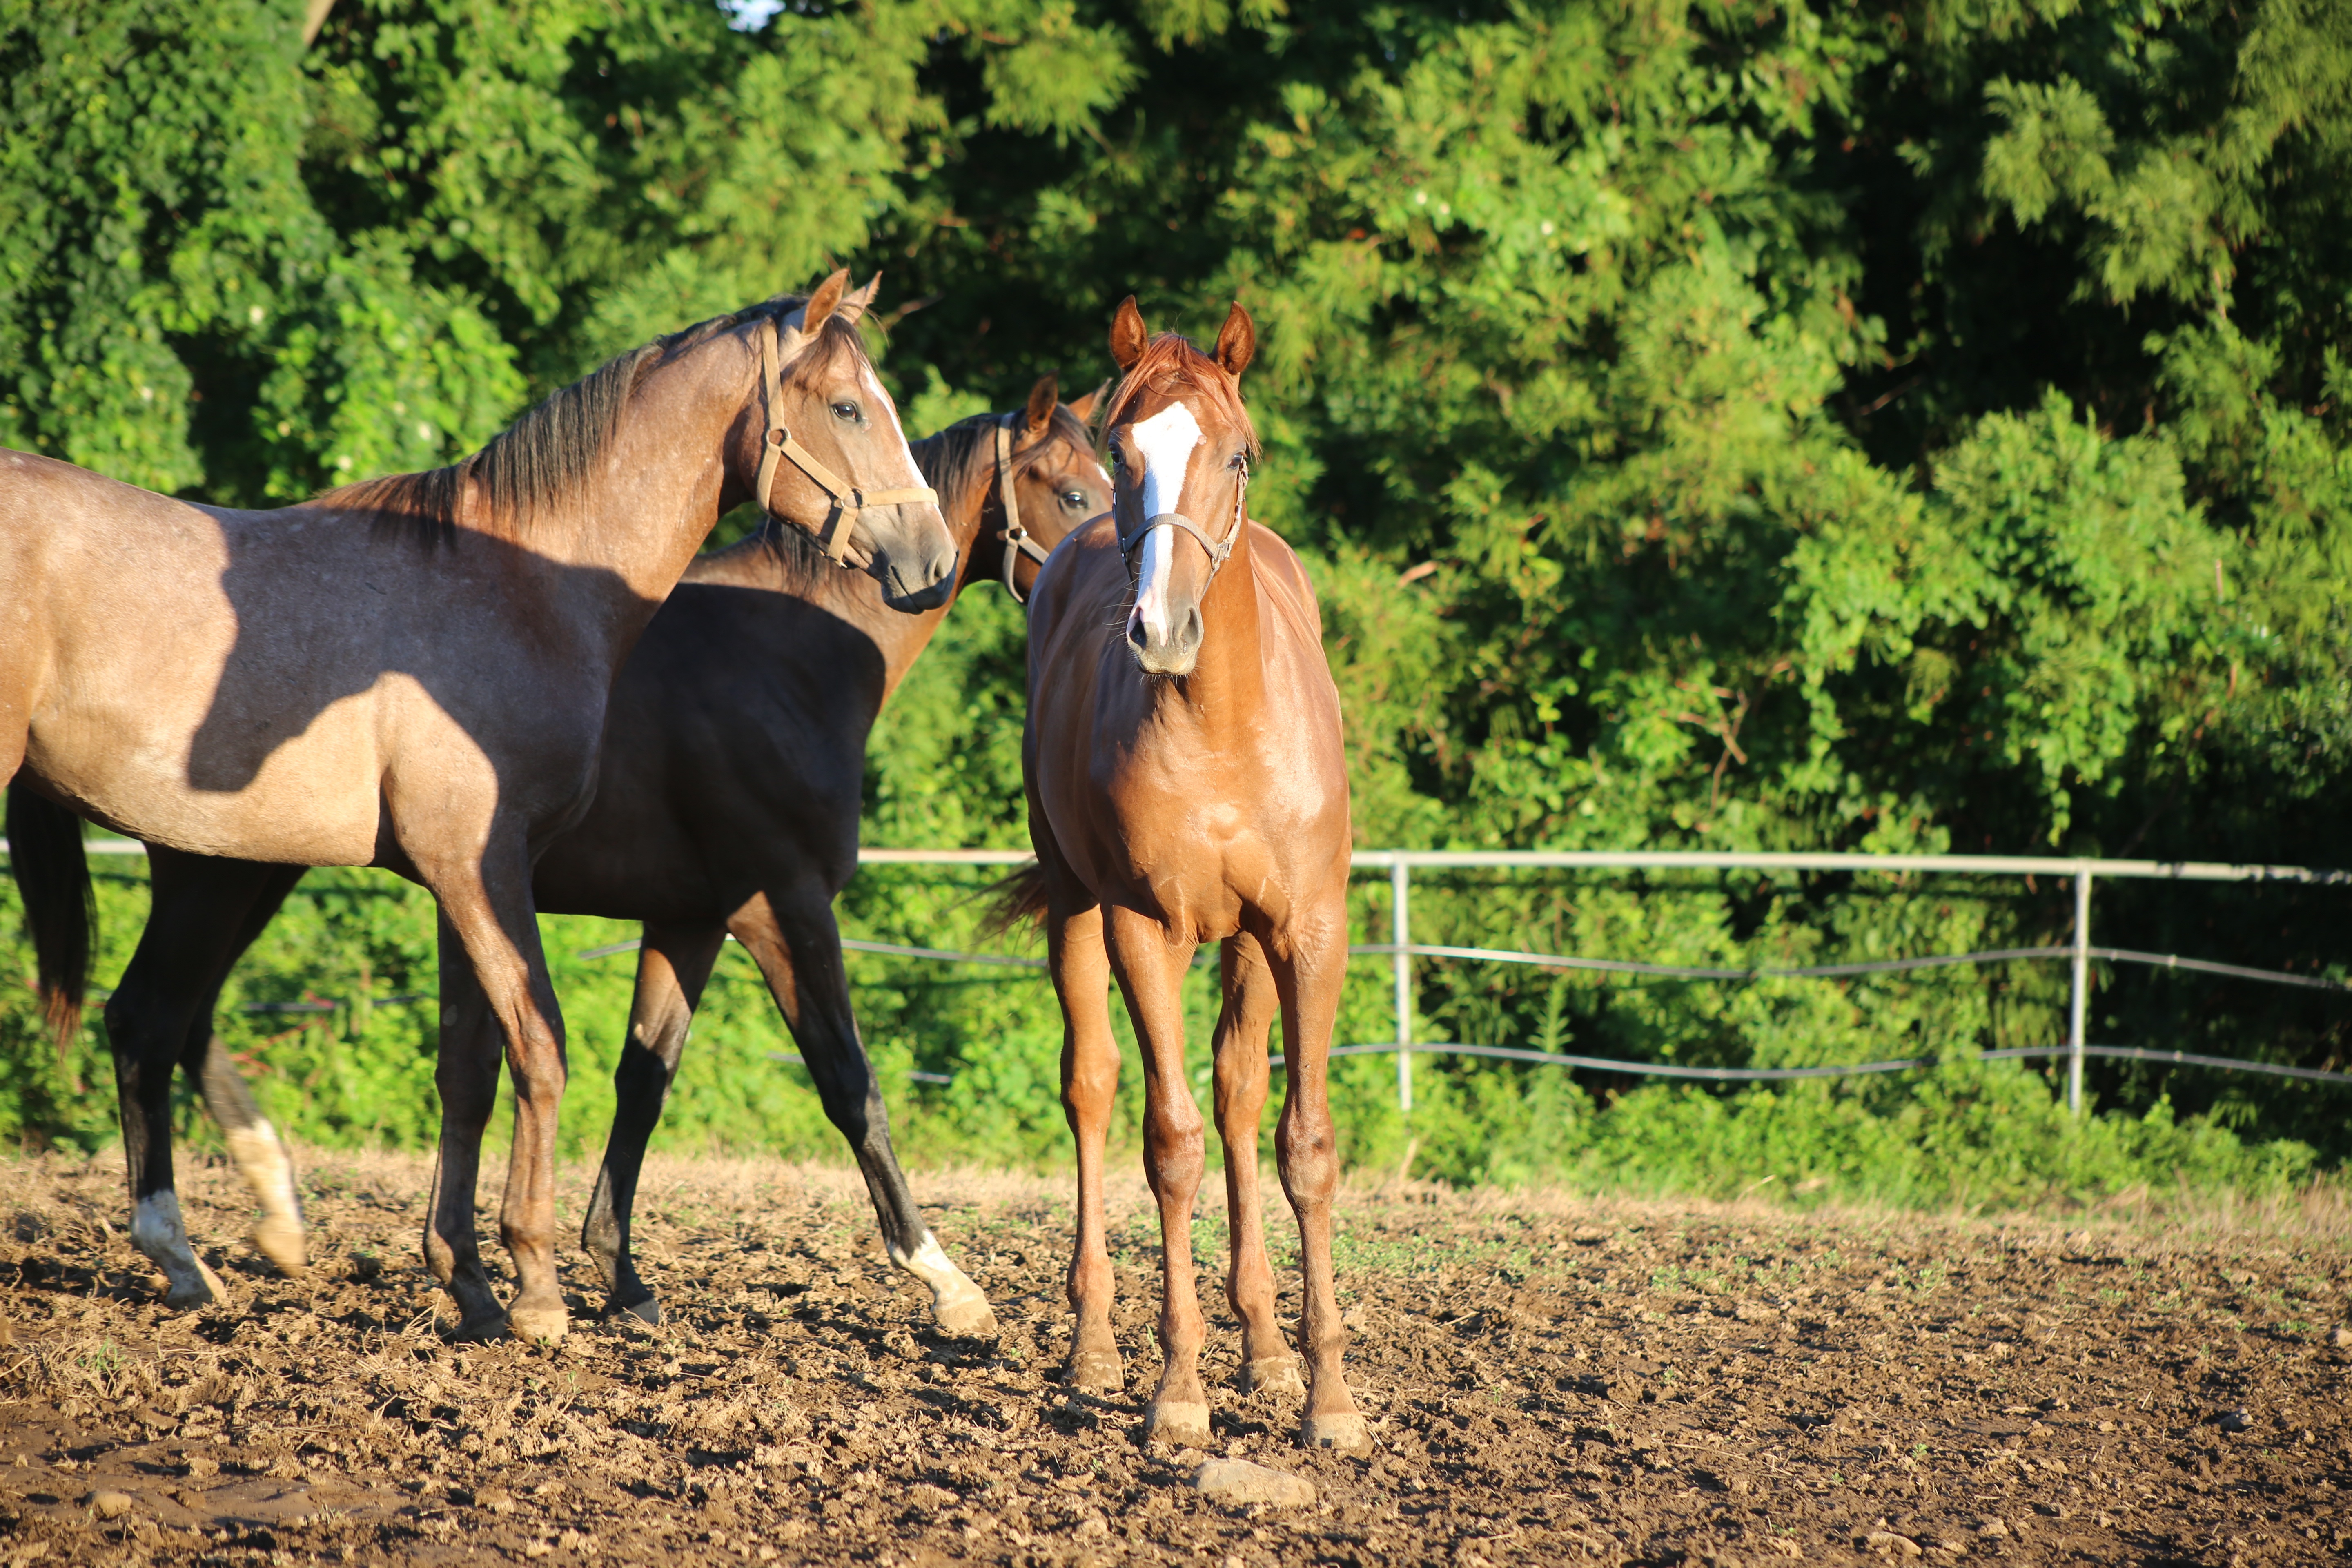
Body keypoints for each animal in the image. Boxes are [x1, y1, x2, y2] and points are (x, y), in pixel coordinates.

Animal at [4, 272, 955, 1354]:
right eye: (847, 407)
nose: (933, 557)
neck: (528, 584)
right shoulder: (484, 864)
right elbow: (542, 1046)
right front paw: (537, 1281)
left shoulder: (476, 874)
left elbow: (471, 1067)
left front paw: (471, 1280)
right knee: (155, 1021)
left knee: (152, 1020)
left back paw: (194, 1259)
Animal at [1007, 301, 1373, 1457]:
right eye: (1119, 453)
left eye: (1238, 453)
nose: (1161, 631)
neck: (1219, 723)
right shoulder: (1142, 927)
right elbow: (1166, 1143)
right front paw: (1176, 1392)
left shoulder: (1307, 932)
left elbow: (1302, 1142)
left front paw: (1327, 1398)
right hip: (1076, 913)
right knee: (1091, 1086)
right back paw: (1093, 1345)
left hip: (1249, 946)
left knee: (1238, 1095)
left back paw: (1263, 1346)